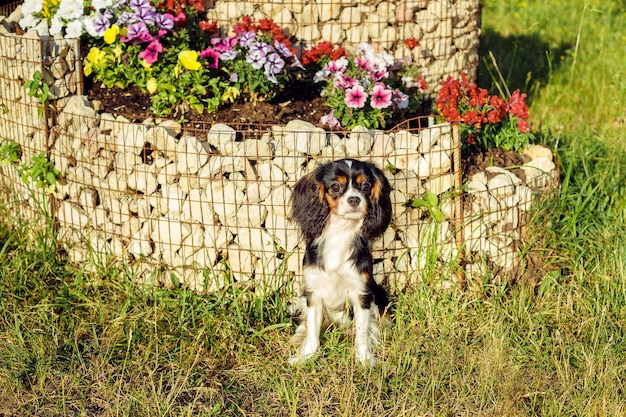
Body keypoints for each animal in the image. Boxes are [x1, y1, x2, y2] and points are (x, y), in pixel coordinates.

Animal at [288, 158, 390, 366]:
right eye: (335, 187)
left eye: (365, 186)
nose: (354, 199)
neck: (340, 231)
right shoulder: (314, 293)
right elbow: (312, 332)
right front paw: (306, 357)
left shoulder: (362, 292)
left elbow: (362, 332)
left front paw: (364, 359)